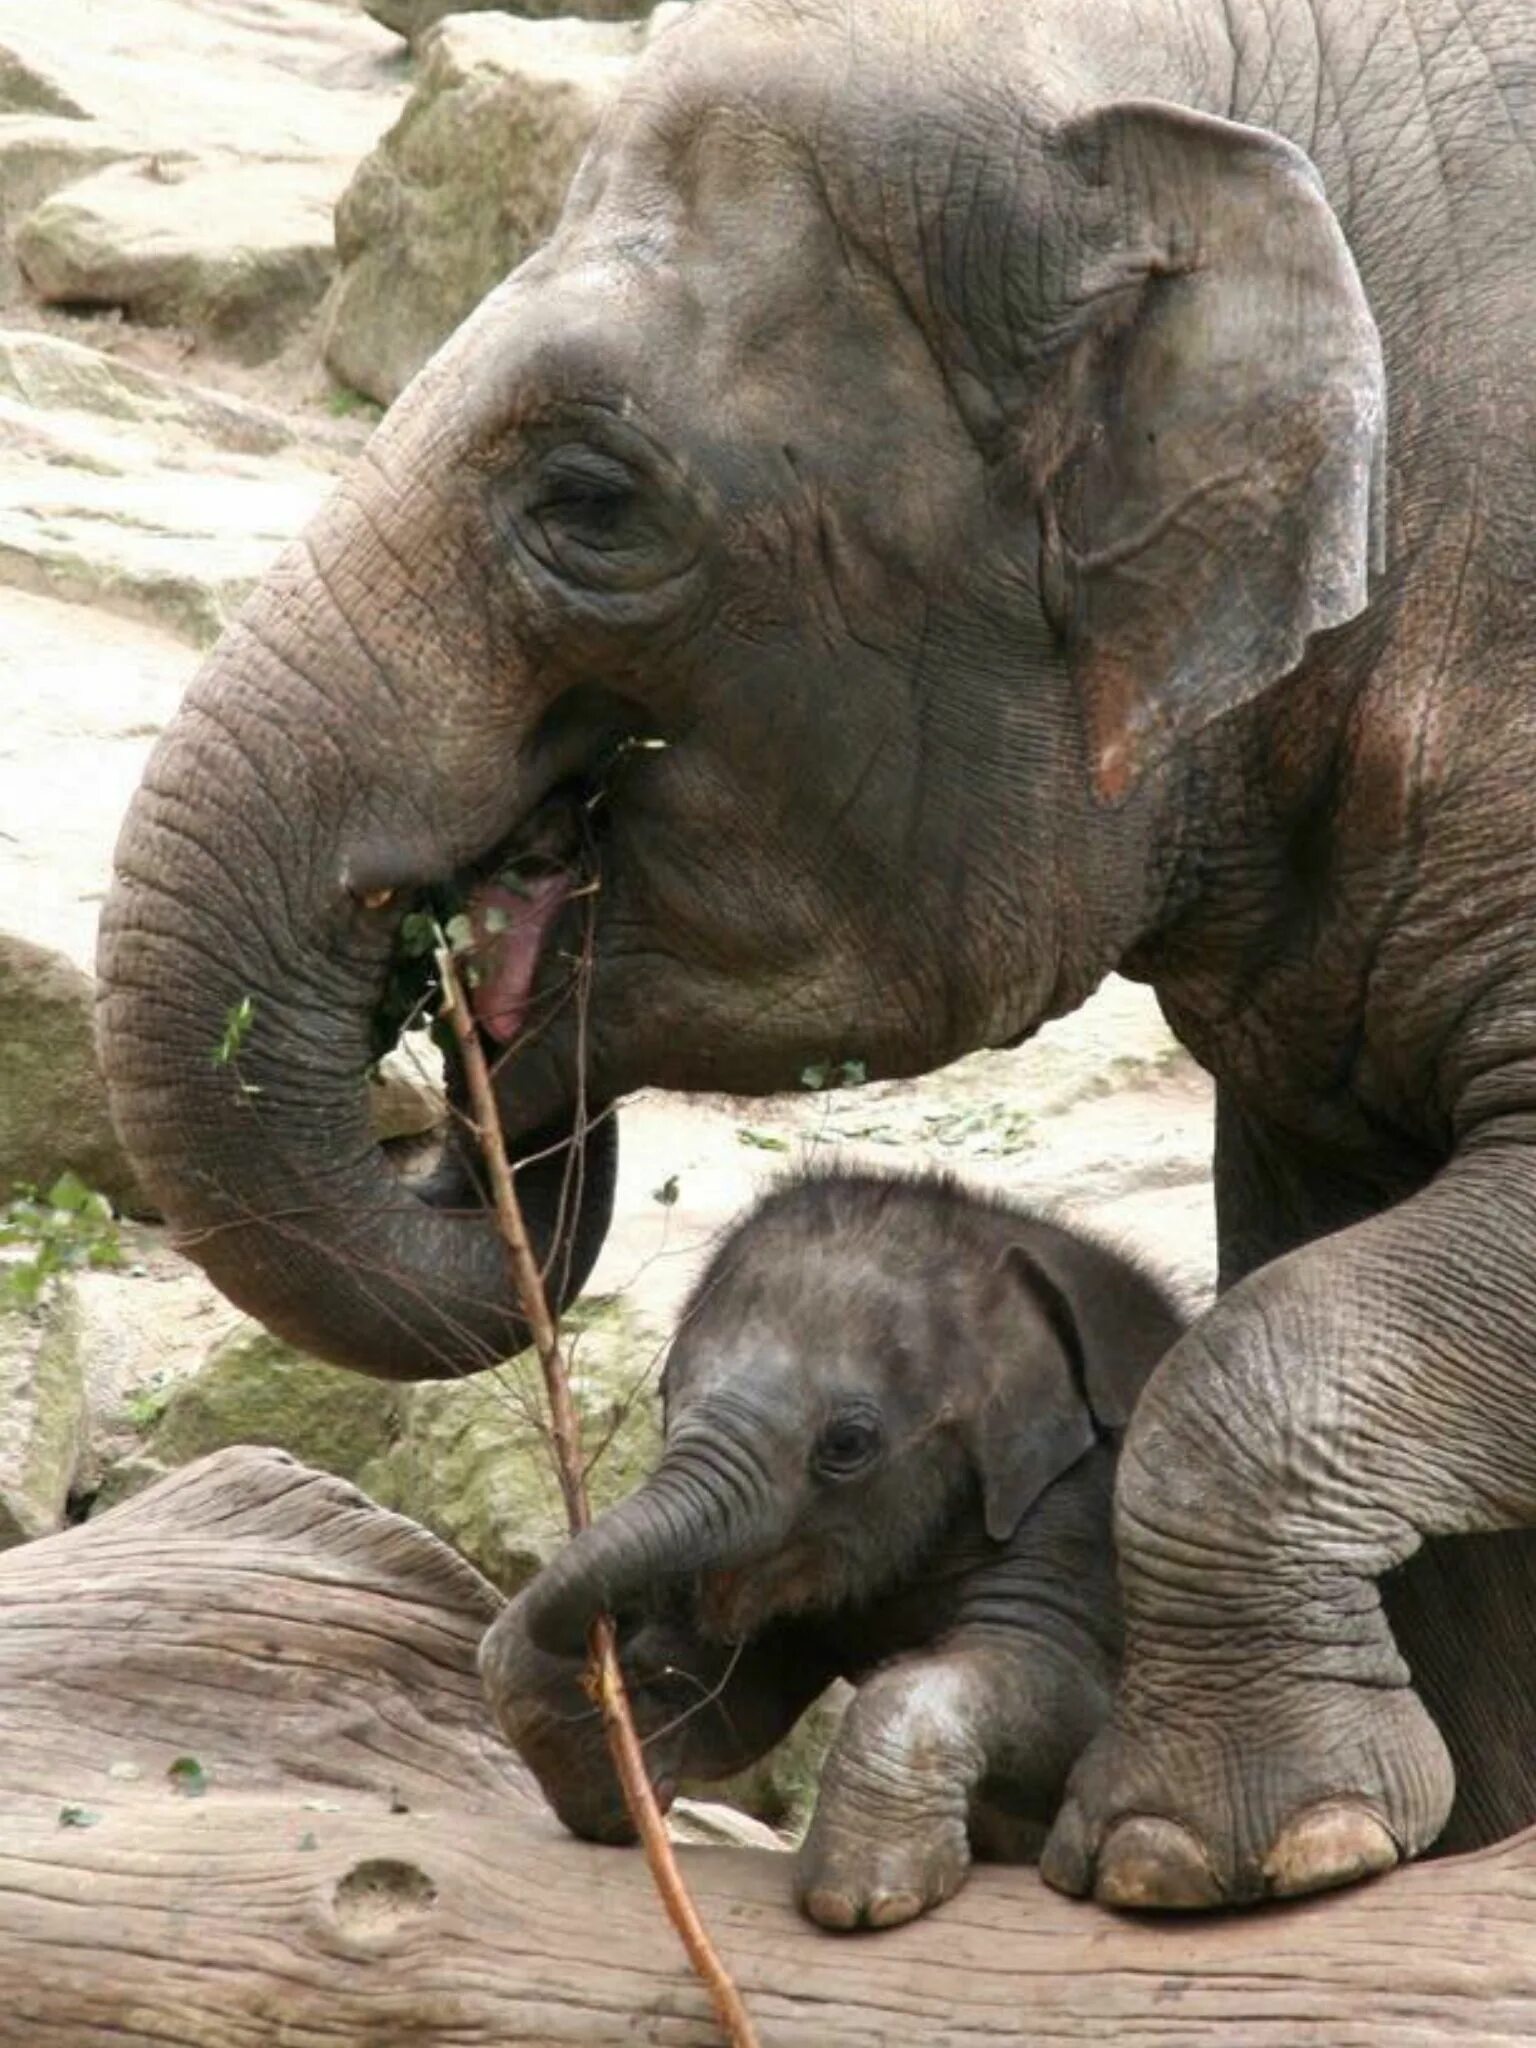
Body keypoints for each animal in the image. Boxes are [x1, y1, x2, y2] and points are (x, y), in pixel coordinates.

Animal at [481, 1179, 1179, 1925]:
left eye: (846, 1443)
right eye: (667, 1395)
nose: (625, 1623)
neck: (998, 1235)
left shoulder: (1084, 1510)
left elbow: (1065, 1693)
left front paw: (865, 1899)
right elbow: (740, 1706)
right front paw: (607, 1784)